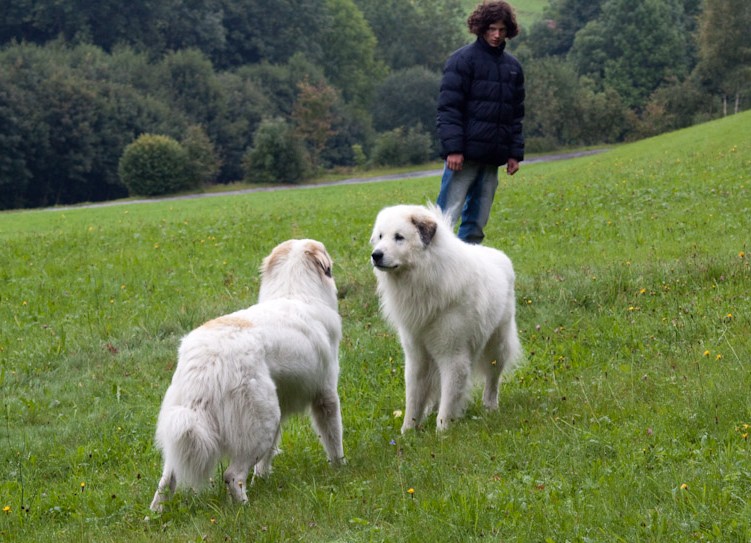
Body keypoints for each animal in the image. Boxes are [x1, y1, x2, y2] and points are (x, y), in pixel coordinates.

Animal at [151, 240, 346, 512]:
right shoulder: (325, 396)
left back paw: (154, 515)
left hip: (188, 426)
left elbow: (268, 455)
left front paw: (262, 478)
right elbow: (333, 436)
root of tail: (207, 360)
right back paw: (245, 508)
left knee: (166, 480)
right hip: (259, 423)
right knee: (232, 475)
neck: (295, 290)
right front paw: (341, 468)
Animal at [370, 204, 524, 434]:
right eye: (380, 236)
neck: (426, 276)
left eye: (399, 237)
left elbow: (450, 396)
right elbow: (414, 398)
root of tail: (499, 255)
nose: (376, 255)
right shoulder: (416, 356)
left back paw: (490, 406)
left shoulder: (453, 355)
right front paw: (408, 431)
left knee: (492, 379)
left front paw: (442, 431)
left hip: (497, 345)